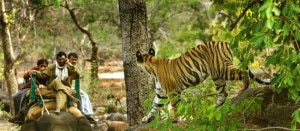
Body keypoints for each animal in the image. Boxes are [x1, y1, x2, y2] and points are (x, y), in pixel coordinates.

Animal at [136, 41, 272, 123]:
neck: (152, 69)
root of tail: (225, 42)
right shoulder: (161, 93)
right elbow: (154, 105)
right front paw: (146, 118)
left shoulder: (172, 91)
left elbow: (174, 106)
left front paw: (174, 119)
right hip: (217, 76)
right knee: (223, 94)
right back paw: (213, 108)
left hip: (222, 69)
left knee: (243, 73)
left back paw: (243, 88)